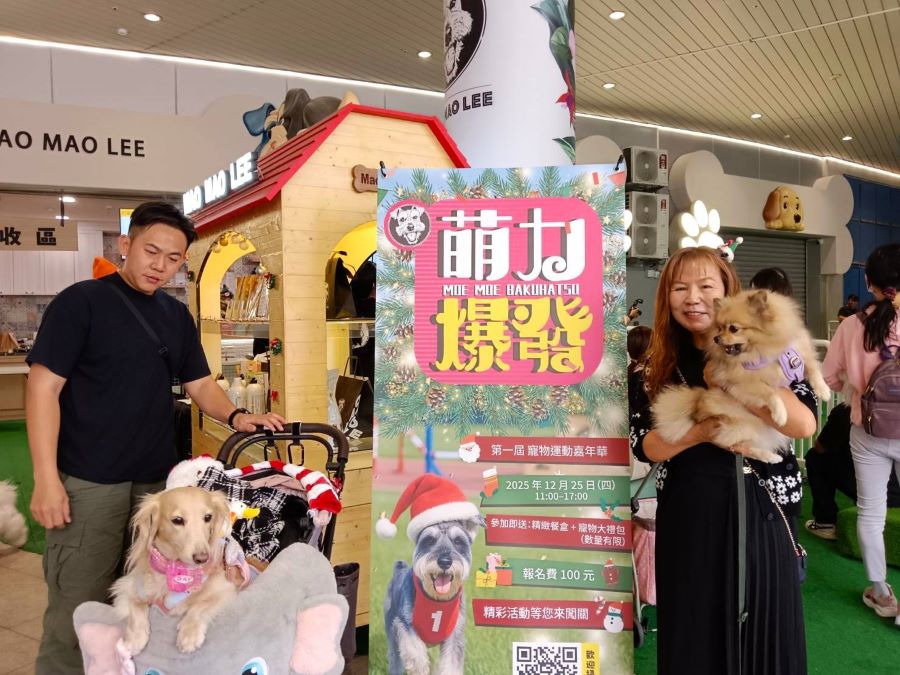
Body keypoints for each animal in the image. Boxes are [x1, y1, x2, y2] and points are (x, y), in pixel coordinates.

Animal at [112, 487, 244, 655]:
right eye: (178, 520)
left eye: (208, 517)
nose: (203, 558)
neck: (176, 571)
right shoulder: (127, 587)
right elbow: (137, 604)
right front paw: (135, 638)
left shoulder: (225, 589)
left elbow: (199, 606)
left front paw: (189, 633)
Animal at [384, 517, 482, 675]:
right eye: (429, 540)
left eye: (458, 541)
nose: (445, 562)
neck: (437, 599)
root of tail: (399, 569)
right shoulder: (405, 625)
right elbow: (415, 652)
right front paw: (419, 667)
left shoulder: (454, 636)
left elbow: (451, 664)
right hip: (392, 631)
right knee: (395, 659)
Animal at [653, 289, 829, 463]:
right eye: (719, 328)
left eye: (733, 329)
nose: (716, 338)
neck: (764, 351)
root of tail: (696, 405)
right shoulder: (742, 383)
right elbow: (770, 392)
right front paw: (780, 413)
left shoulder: (800, 356)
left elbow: (813, 369)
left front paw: (824, 390)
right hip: (744, 427)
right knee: (741, 448)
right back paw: (770, 456)